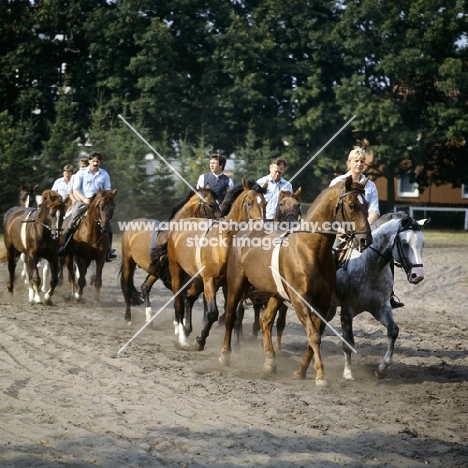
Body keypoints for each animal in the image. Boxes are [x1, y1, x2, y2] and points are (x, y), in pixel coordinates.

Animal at [119, 186, 221, 326]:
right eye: (211, 204)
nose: (223, 221)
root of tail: (132, 223)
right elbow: (178, 296)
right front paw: (179, 324)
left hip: (154, 271)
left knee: (145, 287)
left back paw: (149, 319)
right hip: (128, 261)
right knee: (127, 288)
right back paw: (128, 318)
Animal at [164, 177, 266, 350]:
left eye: (265, 203)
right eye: (249, 203)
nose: (261, 226)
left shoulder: (232, 284)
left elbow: (233, 313)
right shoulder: (210, 281)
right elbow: (212, 313)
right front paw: (200, 340)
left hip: (197, 278)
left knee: (189, 298)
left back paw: (188, 328)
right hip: (177, 271)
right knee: (179, 301)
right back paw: (182, 337)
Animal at [219, 176, 372, 384]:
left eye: (367, 205)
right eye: (351, 205)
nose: (366, 240)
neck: (310, 249)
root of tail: (244, 230)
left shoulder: (323, 303)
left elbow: (316, 333)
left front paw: (301, 370)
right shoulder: (300, 300)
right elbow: (313, 335)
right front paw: (320, 375)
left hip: (275, 294)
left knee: (266, 321)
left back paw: (270, 362)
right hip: (236, 284)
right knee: (230, 316)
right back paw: (225, 355)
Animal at [328, 212, 430, 380]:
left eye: (423, 243)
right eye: (404, 243)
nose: (418, 275)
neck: (370, 266)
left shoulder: (381, 307)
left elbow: (393, 331)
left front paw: (382, 369)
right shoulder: (347, 311)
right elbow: (348, 343)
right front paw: (348, 373)